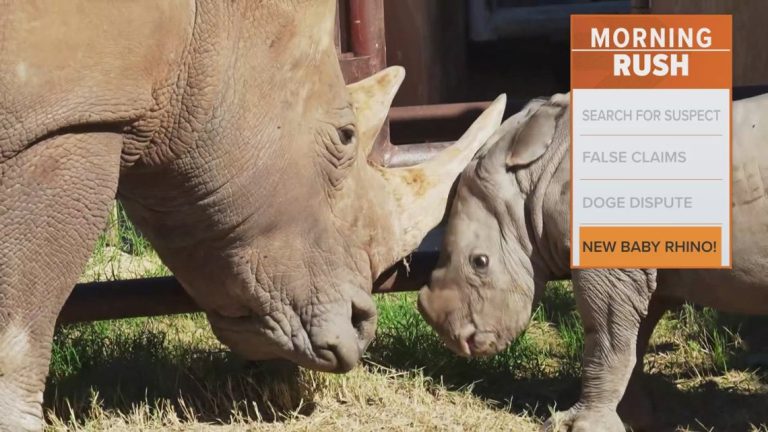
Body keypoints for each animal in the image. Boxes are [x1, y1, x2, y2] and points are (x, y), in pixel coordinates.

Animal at [416, 92, 768, 432]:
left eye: (480, 262)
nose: (456, 339)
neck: (537, 176)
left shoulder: (610, 263)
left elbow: (605, 339)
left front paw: (577, 425)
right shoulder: (642, 267)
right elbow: (630, 340)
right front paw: (633, 418)